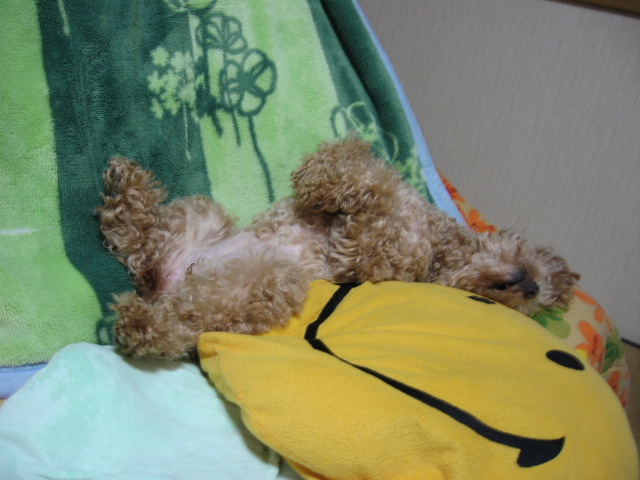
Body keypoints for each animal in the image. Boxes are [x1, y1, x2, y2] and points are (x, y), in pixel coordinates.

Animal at [97, 137, 579, 360]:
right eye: (534, 265)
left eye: (531, 307)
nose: (532, 288)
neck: (443, 252)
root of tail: (167, 284)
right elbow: (354, 166)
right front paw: (338, 175)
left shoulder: (368, 258)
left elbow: (376, 203)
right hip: (204, 216)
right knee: (137, 243)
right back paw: (126, 192)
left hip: (266, 282)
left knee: (185, 319)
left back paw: (141, 323)